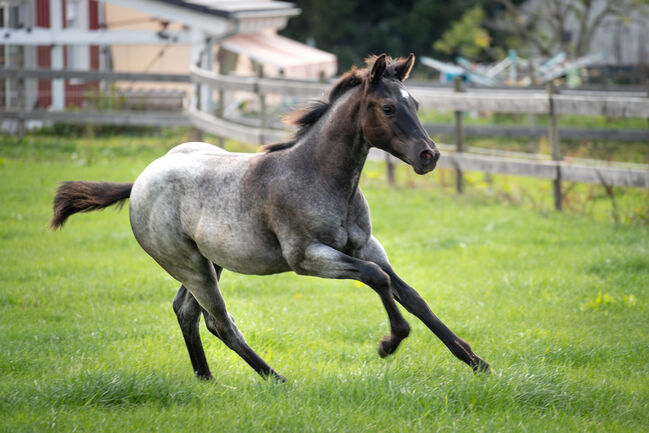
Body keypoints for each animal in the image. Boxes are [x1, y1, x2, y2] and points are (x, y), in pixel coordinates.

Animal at [53, 54, 488, 382]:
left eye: (415, 104)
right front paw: (389, 342)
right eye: (388, 107)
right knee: (219, 322)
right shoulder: (308, 257)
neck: (320, 177)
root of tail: (142, 178)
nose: (429, 155)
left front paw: (476, 361)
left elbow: (412, 296)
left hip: (210, 262)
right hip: (188, 265)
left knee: (188, 313)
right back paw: (276, 379)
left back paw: (207, 379)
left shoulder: (367, 246)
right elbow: (377, 279)